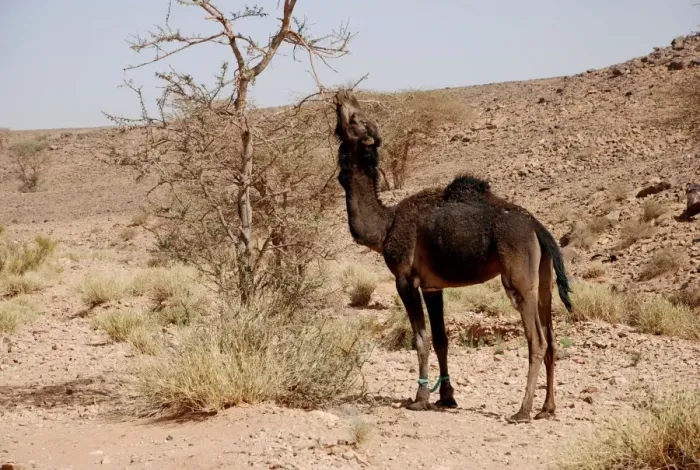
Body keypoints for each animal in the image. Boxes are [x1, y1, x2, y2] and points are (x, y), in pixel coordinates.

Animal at [333, 90, 573, 423]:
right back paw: (547, 408)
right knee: (550, 337)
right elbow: (441, 339)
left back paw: (522, 410)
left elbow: (420, 338)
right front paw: (446, 397)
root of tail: (539, 228)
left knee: (535, 339)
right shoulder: (433, 286)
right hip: (545, 277)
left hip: (518, 276)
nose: (342, 96)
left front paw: (419, 399)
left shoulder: (404, 279)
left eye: (356, 118)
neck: (386, 226)